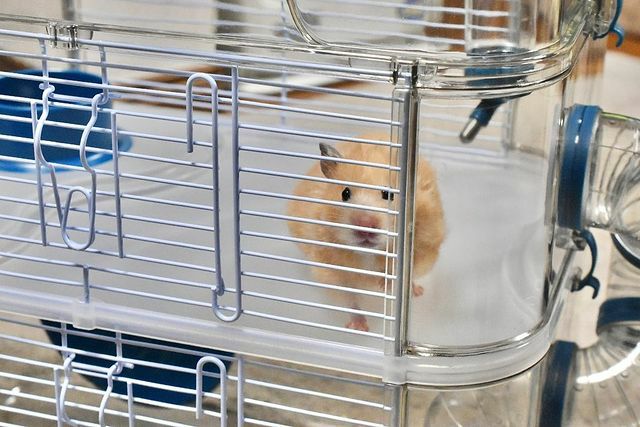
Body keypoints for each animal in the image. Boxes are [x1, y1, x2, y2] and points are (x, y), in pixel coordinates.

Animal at [287, 140, 444, 332]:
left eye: (388, 194)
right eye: (345, 193)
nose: (365, 227)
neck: (369, 253)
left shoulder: (423, 245)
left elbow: (404, 270)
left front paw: (385, 285)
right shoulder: (332, 271)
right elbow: (350, 300)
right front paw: (360, 328)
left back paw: (416, 292)